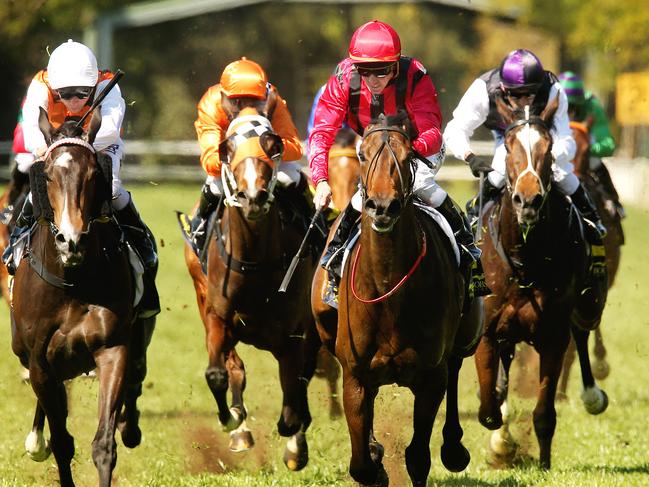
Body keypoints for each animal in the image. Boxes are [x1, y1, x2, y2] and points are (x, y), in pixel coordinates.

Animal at [10, 108, 155, 486]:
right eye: (47, 175)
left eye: (93, 175)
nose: (71, 240)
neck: (71, 283)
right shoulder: (40, 363)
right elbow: (62, 442)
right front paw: (43, 442)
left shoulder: (112, 348)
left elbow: (103, 443)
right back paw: (37, 439)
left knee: (136, 377)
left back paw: (129, 425)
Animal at [182, 107, 318, 472]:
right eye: (228, 148)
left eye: (272, 144)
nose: (253, 197)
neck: (254, 260)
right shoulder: (217, 316)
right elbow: (218, 374)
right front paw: (232, 421)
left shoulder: (294, 333)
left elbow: (293, 399)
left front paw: (294, 444)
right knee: (235, 369)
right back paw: (240, 429)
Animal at [312, 112, 484, 486]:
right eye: (362, 155)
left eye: (407, 158)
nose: (382, 206)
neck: (387, 287)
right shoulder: (355, 375)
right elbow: (361, 464)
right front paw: (375, 460)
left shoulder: (431, 376)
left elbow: (418, 457)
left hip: (467, 334)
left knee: (456, 365)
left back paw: (454, 448)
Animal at [470, 99, 608, 468]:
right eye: (507, 146)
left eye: (548, 147)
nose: (528, 200)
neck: (526, 258)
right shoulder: (489, 331)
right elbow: (489, 407)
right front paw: (501, 443)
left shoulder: (553, 334)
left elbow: (544, 411)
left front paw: (543, 464)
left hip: (587, 306)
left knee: (583, 329)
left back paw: (593, 395)